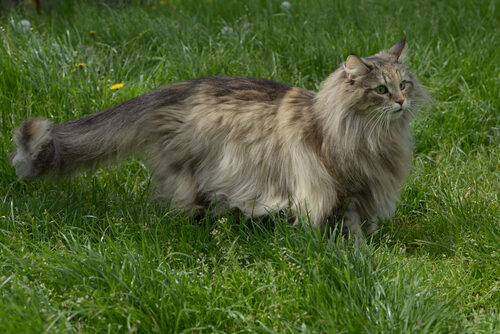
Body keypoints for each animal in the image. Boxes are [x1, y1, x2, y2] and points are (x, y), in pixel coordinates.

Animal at [9, 38, 428, 240]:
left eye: (404, 84)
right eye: (381, 90)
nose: (401, 102)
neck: (372, 134)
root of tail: (170, 90)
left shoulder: (364, 189)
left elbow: (359, 224)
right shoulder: (337, 187)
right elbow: (347, 225)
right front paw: (355, 254)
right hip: (194, 172)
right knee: (180, 207)